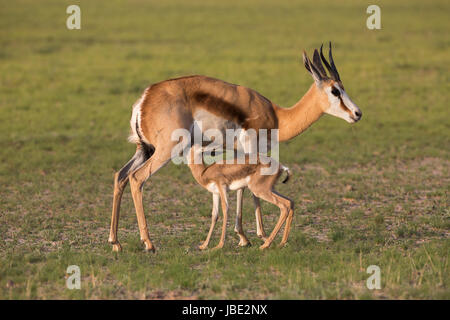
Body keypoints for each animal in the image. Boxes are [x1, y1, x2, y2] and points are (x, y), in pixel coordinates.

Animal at [109, 43, 362, 252]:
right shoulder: (251, 148)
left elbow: (241, 188)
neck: (278, 116)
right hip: (165, 151)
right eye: (335, 90)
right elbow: (251, 193)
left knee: (120, 176)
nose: (357, 113)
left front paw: (244, 237)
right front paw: (258, 236)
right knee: (137, 178)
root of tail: (145, 99)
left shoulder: (242, 153)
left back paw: (115, 242)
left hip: (144, 149)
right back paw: (148, 243)